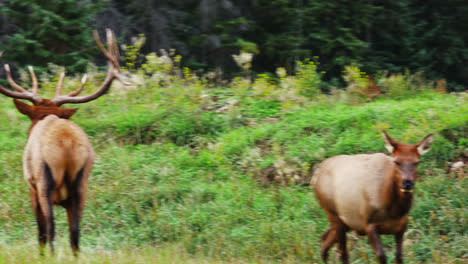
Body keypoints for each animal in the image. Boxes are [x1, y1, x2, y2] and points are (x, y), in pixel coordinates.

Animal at [0, 29, 128, 256]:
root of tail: (67, 143)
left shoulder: (31, 187)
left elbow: (41, 232)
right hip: (82, 184)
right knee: (75, 233)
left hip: (45, 180)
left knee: (50, 228)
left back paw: (50, 256)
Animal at [312, 131, 434, 262]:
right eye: (396, 161)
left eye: (417, 162)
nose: (407, 183)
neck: (394, 211)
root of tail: (315, 177)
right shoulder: (369, 225)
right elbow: (382, 256)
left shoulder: (401, 226)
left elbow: (399, 256)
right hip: (332, 213)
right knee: (342, 253)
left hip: (345, 222)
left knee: (324, 239)